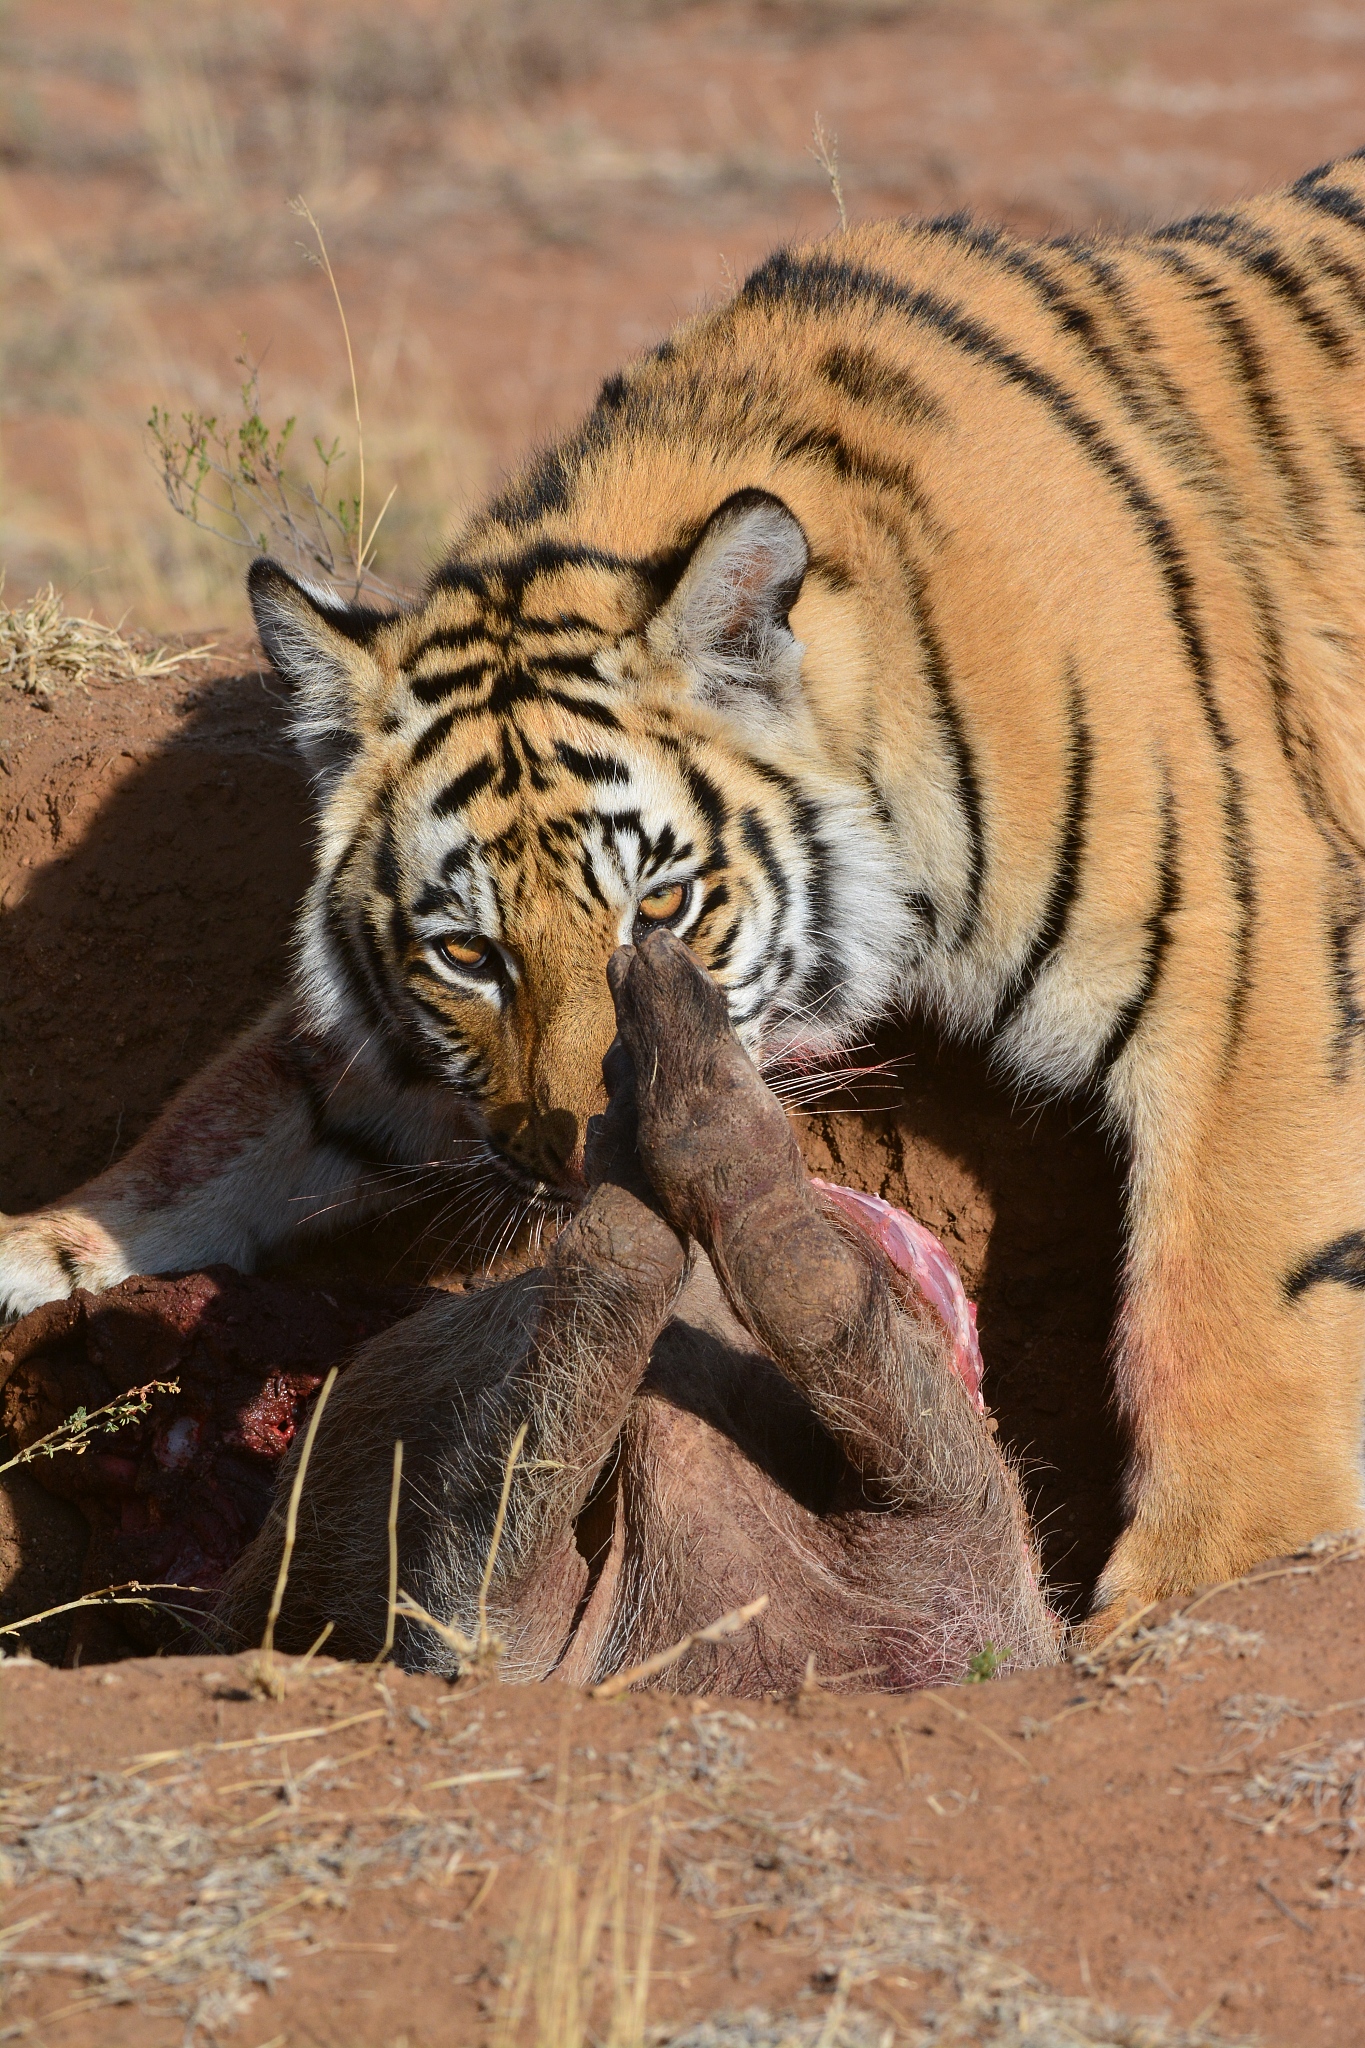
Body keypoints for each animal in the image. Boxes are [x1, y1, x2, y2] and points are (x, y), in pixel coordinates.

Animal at [6, 151, 1365, 1629]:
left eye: (656, 909)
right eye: (470, 953)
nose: (575, 1154)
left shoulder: (1246, 944)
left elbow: (1240, 1289)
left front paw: (1206, 1576)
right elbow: (237, 1123)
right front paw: (46, 1245)